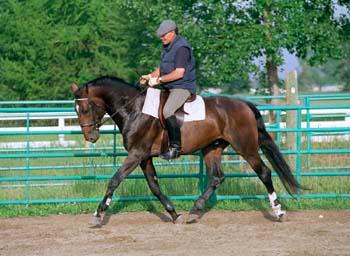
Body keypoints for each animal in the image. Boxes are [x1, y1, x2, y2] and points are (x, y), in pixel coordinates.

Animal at [71, 75, 300, 224]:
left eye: (85, 108)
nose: (91, 137)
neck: (134, 109)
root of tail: (244, 104)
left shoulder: (136, 154)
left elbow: (115, 180)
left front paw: (98, 214)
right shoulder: (144, 157)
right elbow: (154, 186)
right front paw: (174, 214)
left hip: (247, 147)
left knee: (264, 173)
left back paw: (278, 211)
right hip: (212, 149)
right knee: (217, 177)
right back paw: (195, 210)